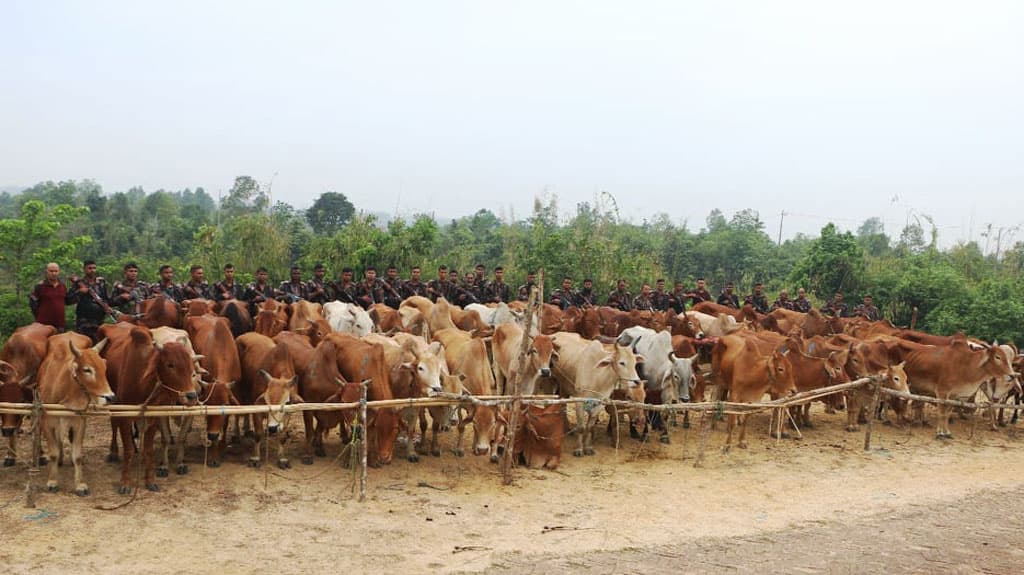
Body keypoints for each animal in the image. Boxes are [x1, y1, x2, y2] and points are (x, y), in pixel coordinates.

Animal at [0, 319, 56, 462]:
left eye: (20, 400)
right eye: (2, 401)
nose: (7, 430)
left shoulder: (35, 397)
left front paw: (41, 455)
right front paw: (10, 455)